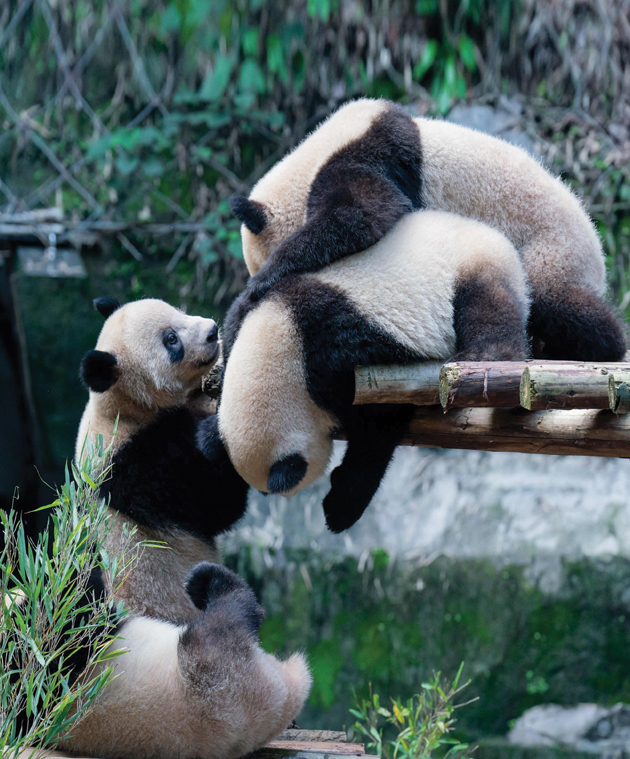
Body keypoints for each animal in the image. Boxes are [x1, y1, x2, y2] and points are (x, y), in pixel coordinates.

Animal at [76, 296, 249, 624]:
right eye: (171, 340)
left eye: (179, 311)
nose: (211, 331)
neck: (121, 407)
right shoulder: (138, 465)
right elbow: (215, 502)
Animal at [200, 209, 532, 536]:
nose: (265, 495)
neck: (284, 332)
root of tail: (487, 230)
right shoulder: (253, 312)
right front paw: (209, 438)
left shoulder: (341, 359)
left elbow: (378, 427)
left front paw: (340, 506)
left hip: (473, 267)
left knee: (489, 310)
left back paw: (480, 360)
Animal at [232, 97, 628, 362]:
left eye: (252, 263)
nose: (252, 274)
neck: (309, 157)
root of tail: (598, 252)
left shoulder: (367, 154)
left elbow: (365, 215)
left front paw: (257, 288)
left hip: (552, 247)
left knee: (559, 301)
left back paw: (606, 343)